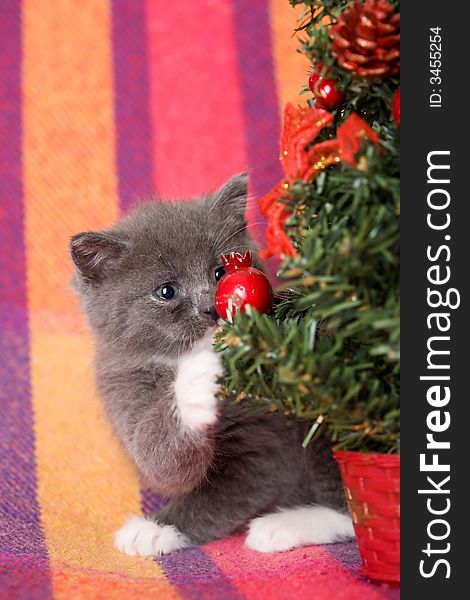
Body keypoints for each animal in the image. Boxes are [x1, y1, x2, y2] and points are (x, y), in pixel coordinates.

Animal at [68, 172, 350, 552]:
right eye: (166, 291)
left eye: (219, 272)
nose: (210, 308)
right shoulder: (121, 386)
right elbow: (159, 458)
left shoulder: (267, 440)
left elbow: (228, 490)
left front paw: (156, 528)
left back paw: (283, 525)